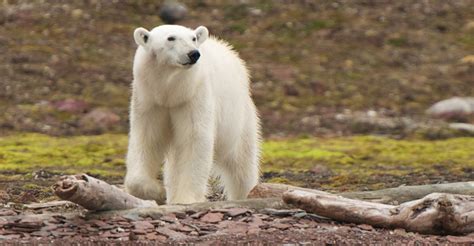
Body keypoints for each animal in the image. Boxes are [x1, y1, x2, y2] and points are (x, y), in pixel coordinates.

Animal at [124, 25, 262, 205]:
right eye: (171, 38)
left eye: (193, 38)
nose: (193, 53)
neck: (170, 93)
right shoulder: (149, 100)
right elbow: (146, 139)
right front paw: (158, 192)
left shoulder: (193, 96)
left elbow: (194, 139)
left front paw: (186, 199)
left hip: (238, 117)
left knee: (241, 160)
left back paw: (246, 193)